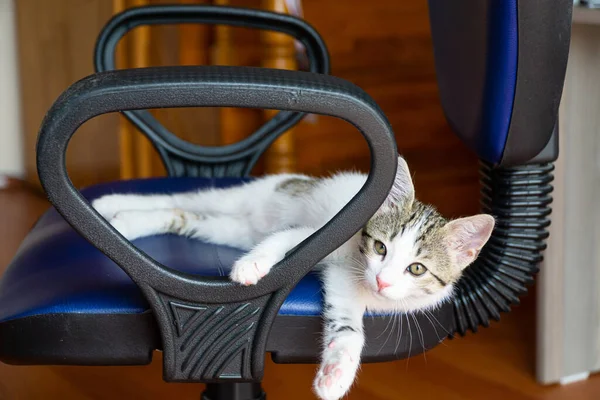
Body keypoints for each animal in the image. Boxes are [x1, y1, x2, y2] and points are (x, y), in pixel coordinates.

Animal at [94, 156, 494, 400]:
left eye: (416, 269)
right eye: (380, 247)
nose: (382, 281)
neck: (356, 266)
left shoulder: (345, 286)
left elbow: (349, 329)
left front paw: (335, 375)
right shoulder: (320, 235)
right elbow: (284, 240)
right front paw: (252, 266)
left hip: (232, 228)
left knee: (184, 215)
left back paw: (126, 221)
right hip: (249, 197)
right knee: (187, 197)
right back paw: (111, 205)